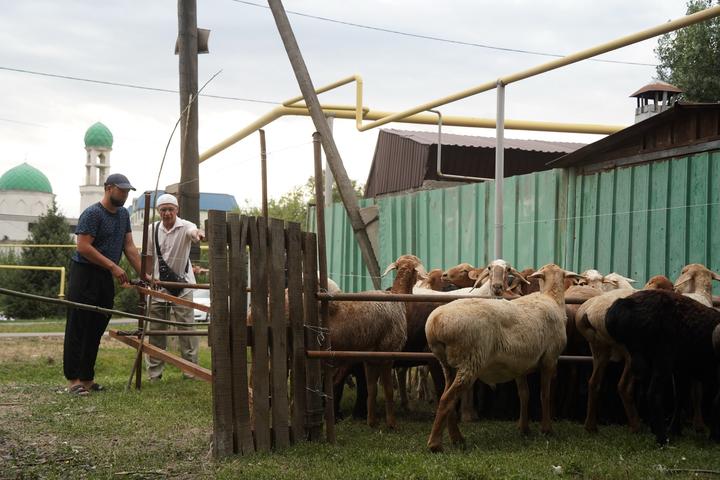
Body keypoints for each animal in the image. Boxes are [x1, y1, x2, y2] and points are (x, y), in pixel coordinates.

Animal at [422, 262, 580, 450]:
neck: (552, 298)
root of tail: (435, 323)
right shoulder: (550, 359)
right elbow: (545, 395)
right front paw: (547, 429)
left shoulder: (520, 365)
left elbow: (524, 394)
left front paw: (524, 428)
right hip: (471, 361)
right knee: (447, 399)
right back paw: (435, 444)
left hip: (448, 364)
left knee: (448, 399)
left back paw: (457, 439)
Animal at [604, 286, 716, 444]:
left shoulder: (682, 370)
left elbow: (680, 396)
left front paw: (676, 430)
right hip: (662, 356)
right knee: (654, 393)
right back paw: (662, 439)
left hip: (641, 358)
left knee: (644, 391)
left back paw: (655, 429)